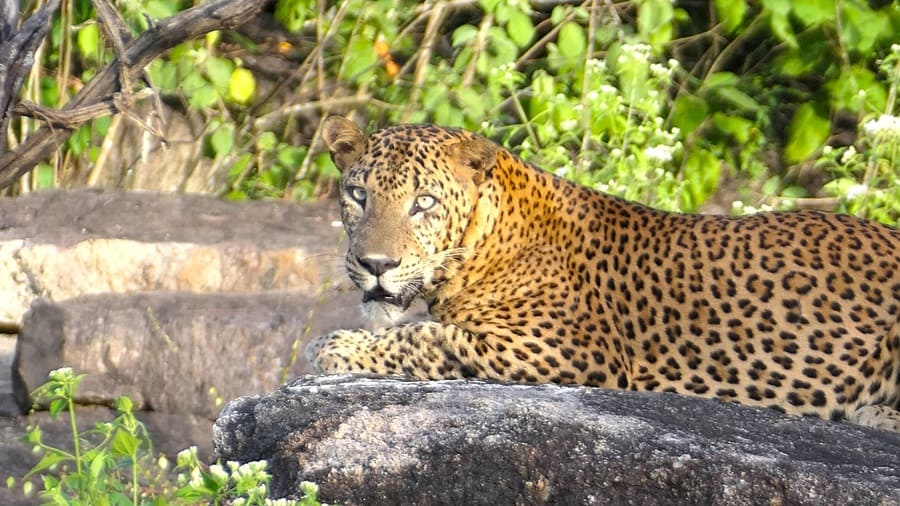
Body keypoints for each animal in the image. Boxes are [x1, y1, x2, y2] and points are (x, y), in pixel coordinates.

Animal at [305, 115, 900, 432]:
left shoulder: (566, 349)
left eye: (423, 203)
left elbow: (430, 337)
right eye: (358, 195)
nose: (376, 265)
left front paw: (335, 346)